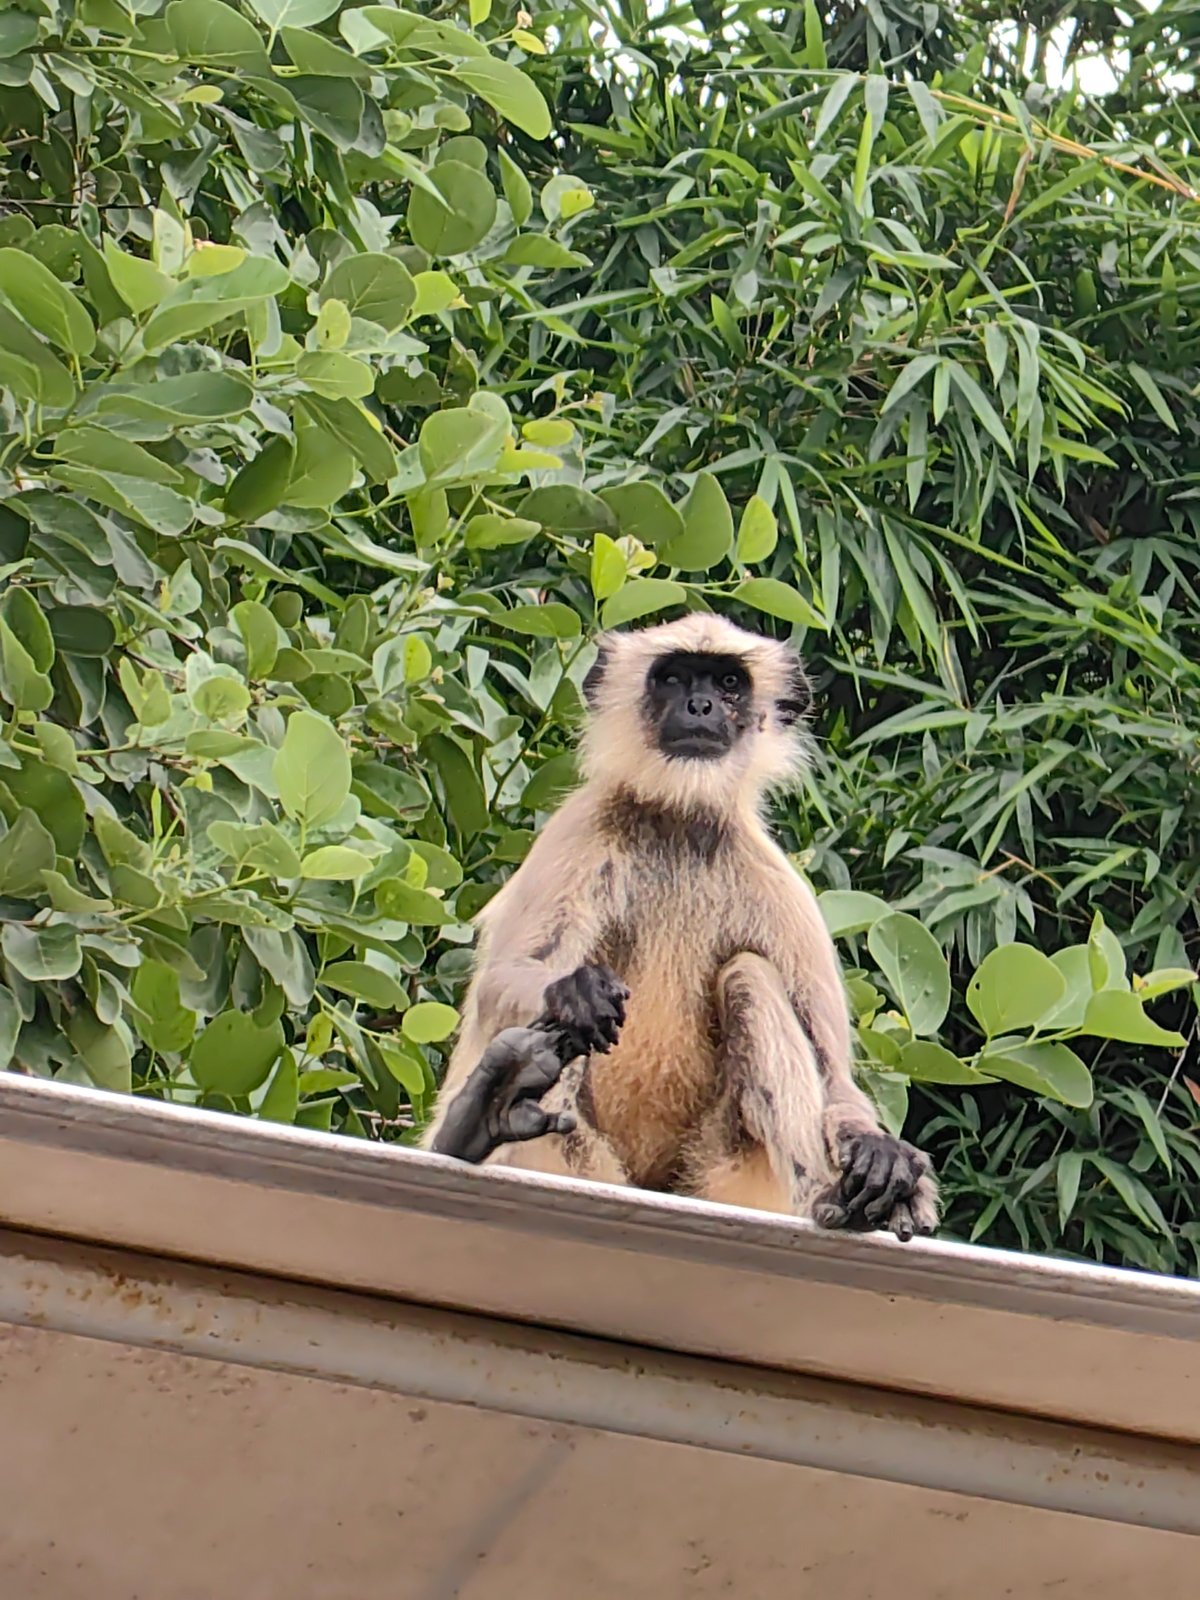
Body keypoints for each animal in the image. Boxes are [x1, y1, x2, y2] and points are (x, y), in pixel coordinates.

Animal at [423, 613, 939, 1241]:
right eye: (671, 678)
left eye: (728, 683)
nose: (700, 706)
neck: (678, 822)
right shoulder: (581, 833)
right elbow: (506, 980)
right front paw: (573, 992)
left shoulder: (775, 883)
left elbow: (836, 1076)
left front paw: (880, 1154)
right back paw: (478, 1123)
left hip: (722, 1173)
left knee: (749, 976)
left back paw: (834, 1198)